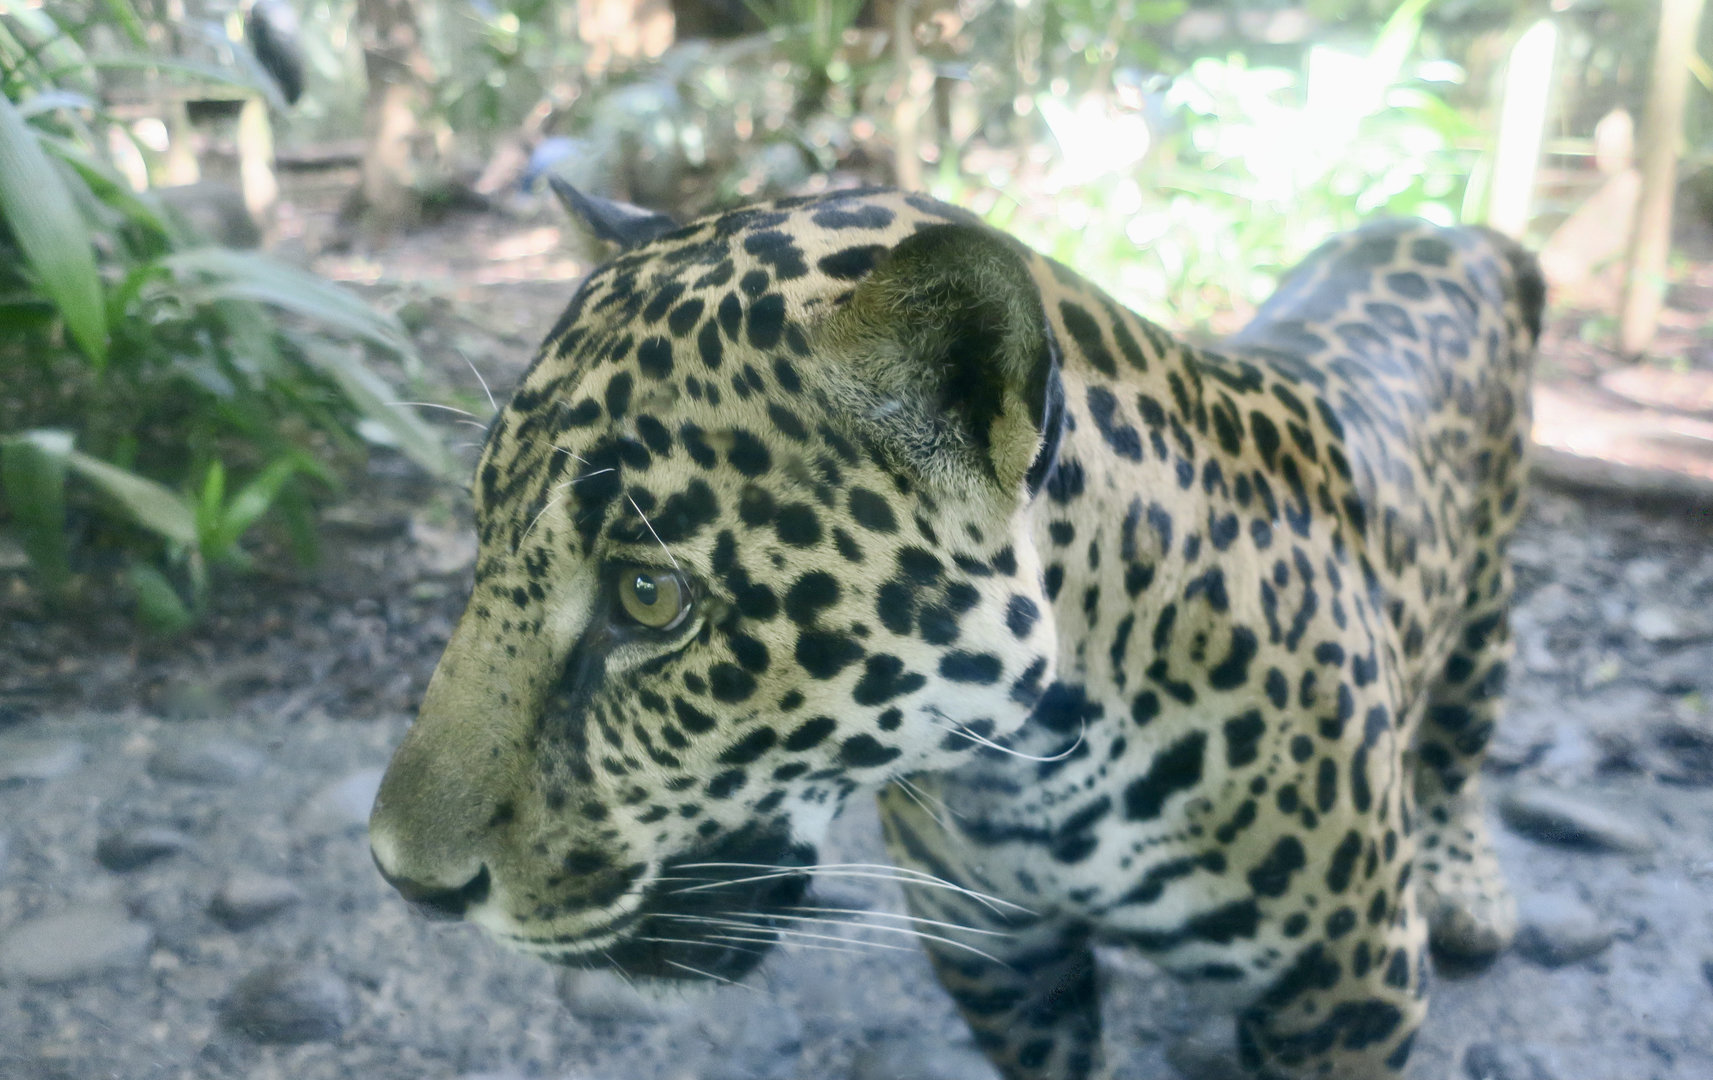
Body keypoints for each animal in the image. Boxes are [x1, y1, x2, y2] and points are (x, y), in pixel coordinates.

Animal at [369, 181, 1544, 1080]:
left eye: (649, 597)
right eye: (480, 530)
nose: (404, 882)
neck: (1046, 771)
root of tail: (1452, 225)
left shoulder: (1346, 992)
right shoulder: (999, 959)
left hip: (1486, 604)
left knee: (1458, 748)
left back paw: (1474, 894)